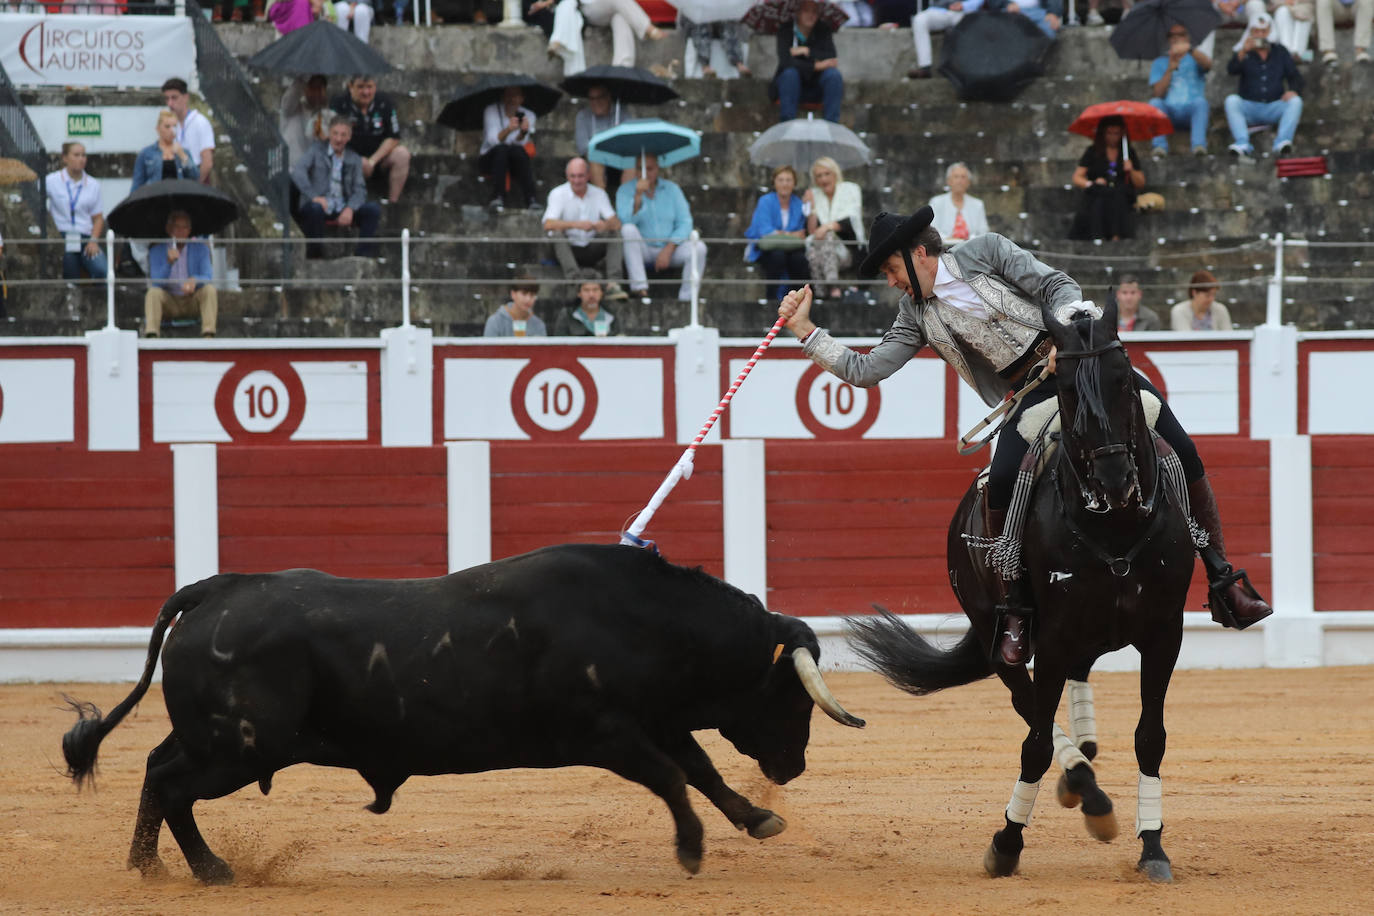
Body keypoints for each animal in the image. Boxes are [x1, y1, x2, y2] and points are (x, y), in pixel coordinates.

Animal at [64, 543, 862, 878]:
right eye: (790, 692)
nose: (794, 766)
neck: (646, 618)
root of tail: (217, 588)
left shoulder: (654, 721)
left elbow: (700, 770)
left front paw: (758, 819)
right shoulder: (607, 733)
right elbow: (673, 777)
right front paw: (691, 851)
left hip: (217, 738)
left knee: (157, 768)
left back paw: (151, 867)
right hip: (243, 745)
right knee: (173, 784)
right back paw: (204, 871)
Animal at [851, 299, 1198, 878]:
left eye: (1123, 376)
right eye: (1068, 390)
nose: (1114, 480)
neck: (1116, 526)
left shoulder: (1163, 634)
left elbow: (1151, 738)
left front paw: (1153, 847)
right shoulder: (1052, 638)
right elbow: (1034, 742)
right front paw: (1007, 843)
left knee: (1067, 694)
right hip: (1000, 632)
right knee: (1029, 701)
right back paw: (1085, 789)